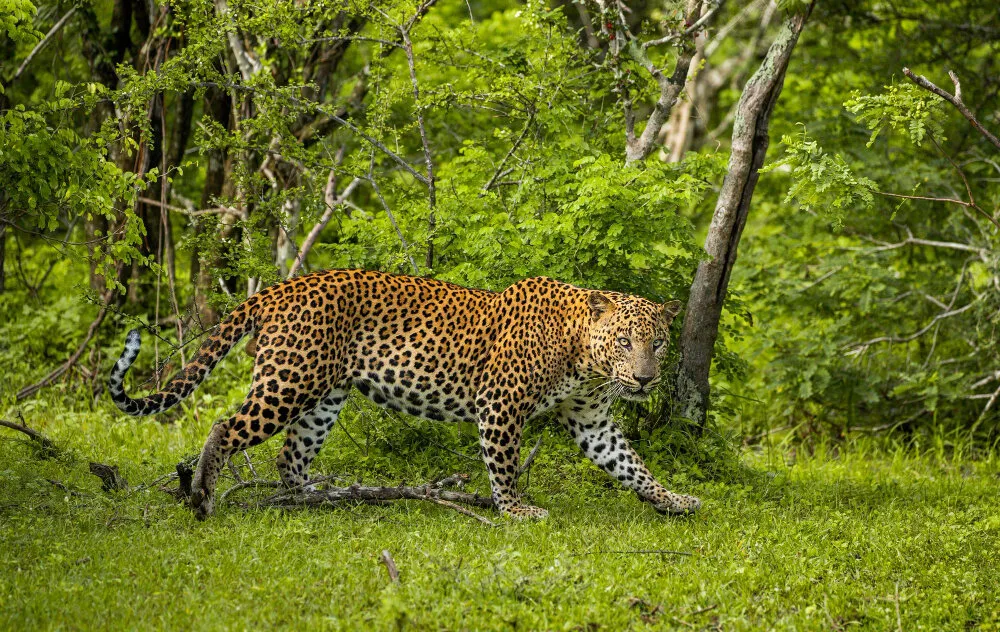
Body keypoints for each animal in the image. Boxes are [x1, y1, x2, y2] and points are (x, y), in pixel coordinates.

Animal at [107, 270, 704, 520]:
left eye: (656, 343)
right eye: (624, 342)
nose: (646, 379)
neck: (582, 357)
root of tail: (283, 286)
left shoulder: (592, 421)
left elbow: (631, 466)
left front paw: (674, 500)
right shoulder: (501, 405)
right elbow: (505, 466)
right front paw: (516, 510)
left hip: (325, 397)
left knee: (290, 457)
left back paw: (320, 497)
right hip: (289, 381)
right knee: (225, 427)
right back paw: (203, 497)